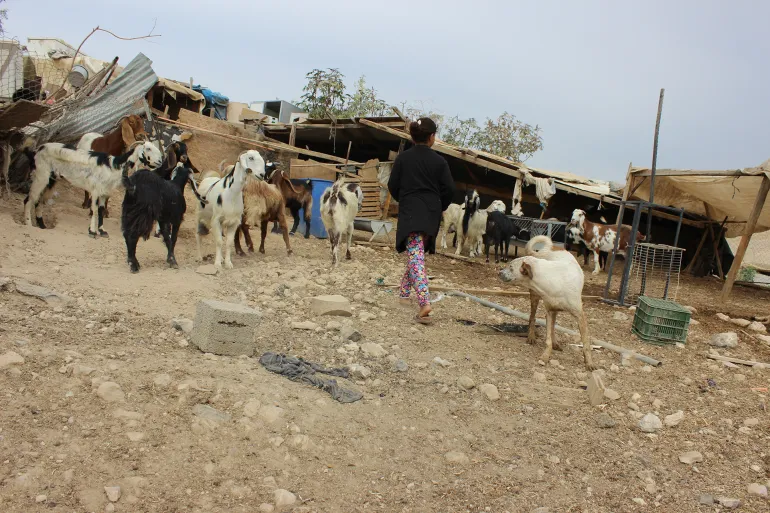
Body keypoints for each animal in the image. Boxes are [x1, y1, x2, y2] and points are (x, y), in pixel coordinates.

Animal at [24, 140, 162, 236]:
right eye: (148, 148)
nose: (160, 161)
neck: (115, 166)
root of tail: (36, 151)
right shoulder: (96, 190)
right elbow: (95, 210)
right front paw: (92, 231)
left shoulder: (104, 193)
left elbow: (101, 210)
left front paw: (102, 231)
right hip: (41, 176)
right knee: (29, 199)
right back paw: (28, 223)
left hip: (51, 180)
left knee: (39, 201)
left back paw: (42, 225)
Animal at [498, 234, 592, 370]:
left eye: (510, 267)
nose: (498, 272)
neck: (554, 280)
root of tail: (553, 247)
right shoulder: (549, 311)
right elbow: (548, 339)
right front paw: (545, 356)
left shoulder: (580, 315)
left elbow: (585, 342)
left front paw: (589, 362)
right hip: (535, 297)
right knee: (532, 318)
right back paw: (531, 336)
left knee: (552, 326)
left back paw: (556, 342)